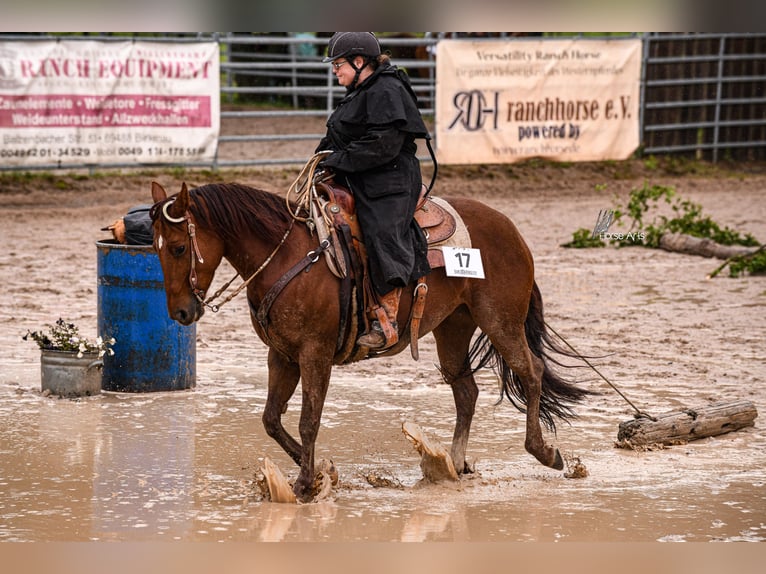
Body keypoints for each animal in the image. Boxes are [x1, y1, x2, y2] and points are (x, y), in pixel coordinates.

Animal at [149, 180, 591, 502]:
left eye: (179, 247)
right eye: (155, 249)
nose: (181, 313)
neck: (286, 256)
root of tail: (511, 229)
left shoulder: (315, 354)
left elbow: (308, 420)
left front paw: (305, 484)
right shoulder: (282, 355)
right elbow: (272, 419)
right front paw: (318, 471)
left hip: (500, 320)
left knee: (531, 372)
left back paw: (544, 452)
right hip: (454, 326)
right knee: (466, 391)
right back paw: (455, 463)